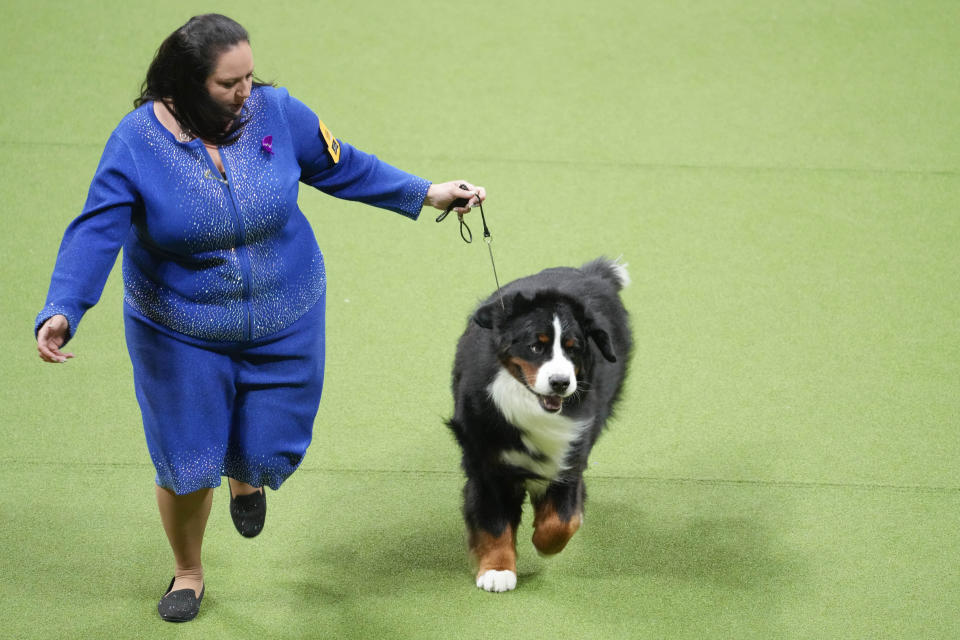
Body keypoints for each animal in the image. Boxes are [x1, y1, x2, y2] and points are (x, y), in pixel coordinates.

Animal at [448, 255, 632, 592]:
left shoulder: (569, 454)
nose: (560, 383)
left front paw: (543, 543)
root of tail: (589, 273)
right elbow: (493, 521)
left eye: (573, 348)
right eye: (536, 346)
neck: (528, 405)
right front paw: (497, 570)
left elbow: (563, 519)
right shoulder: (486, 462)